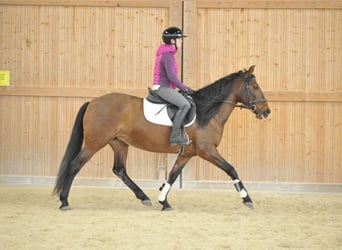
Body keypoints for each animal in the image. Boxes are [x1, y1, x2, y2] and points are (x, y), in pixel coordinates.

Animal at [52, 65, 270, 211]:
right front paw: (247, 199)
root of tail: (93, 102)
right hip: (95, 143)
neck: (205, 113)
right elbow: (231, 169)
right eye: (255, 86)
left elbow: (172, 176)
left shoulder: (187, 154)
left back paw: (143, 197)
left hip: (119, 143)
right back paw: (64, 201)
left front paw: (164, 201)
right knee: (75, 165)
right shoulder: (207, 150)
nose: (266, 112)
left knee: (120, 170)